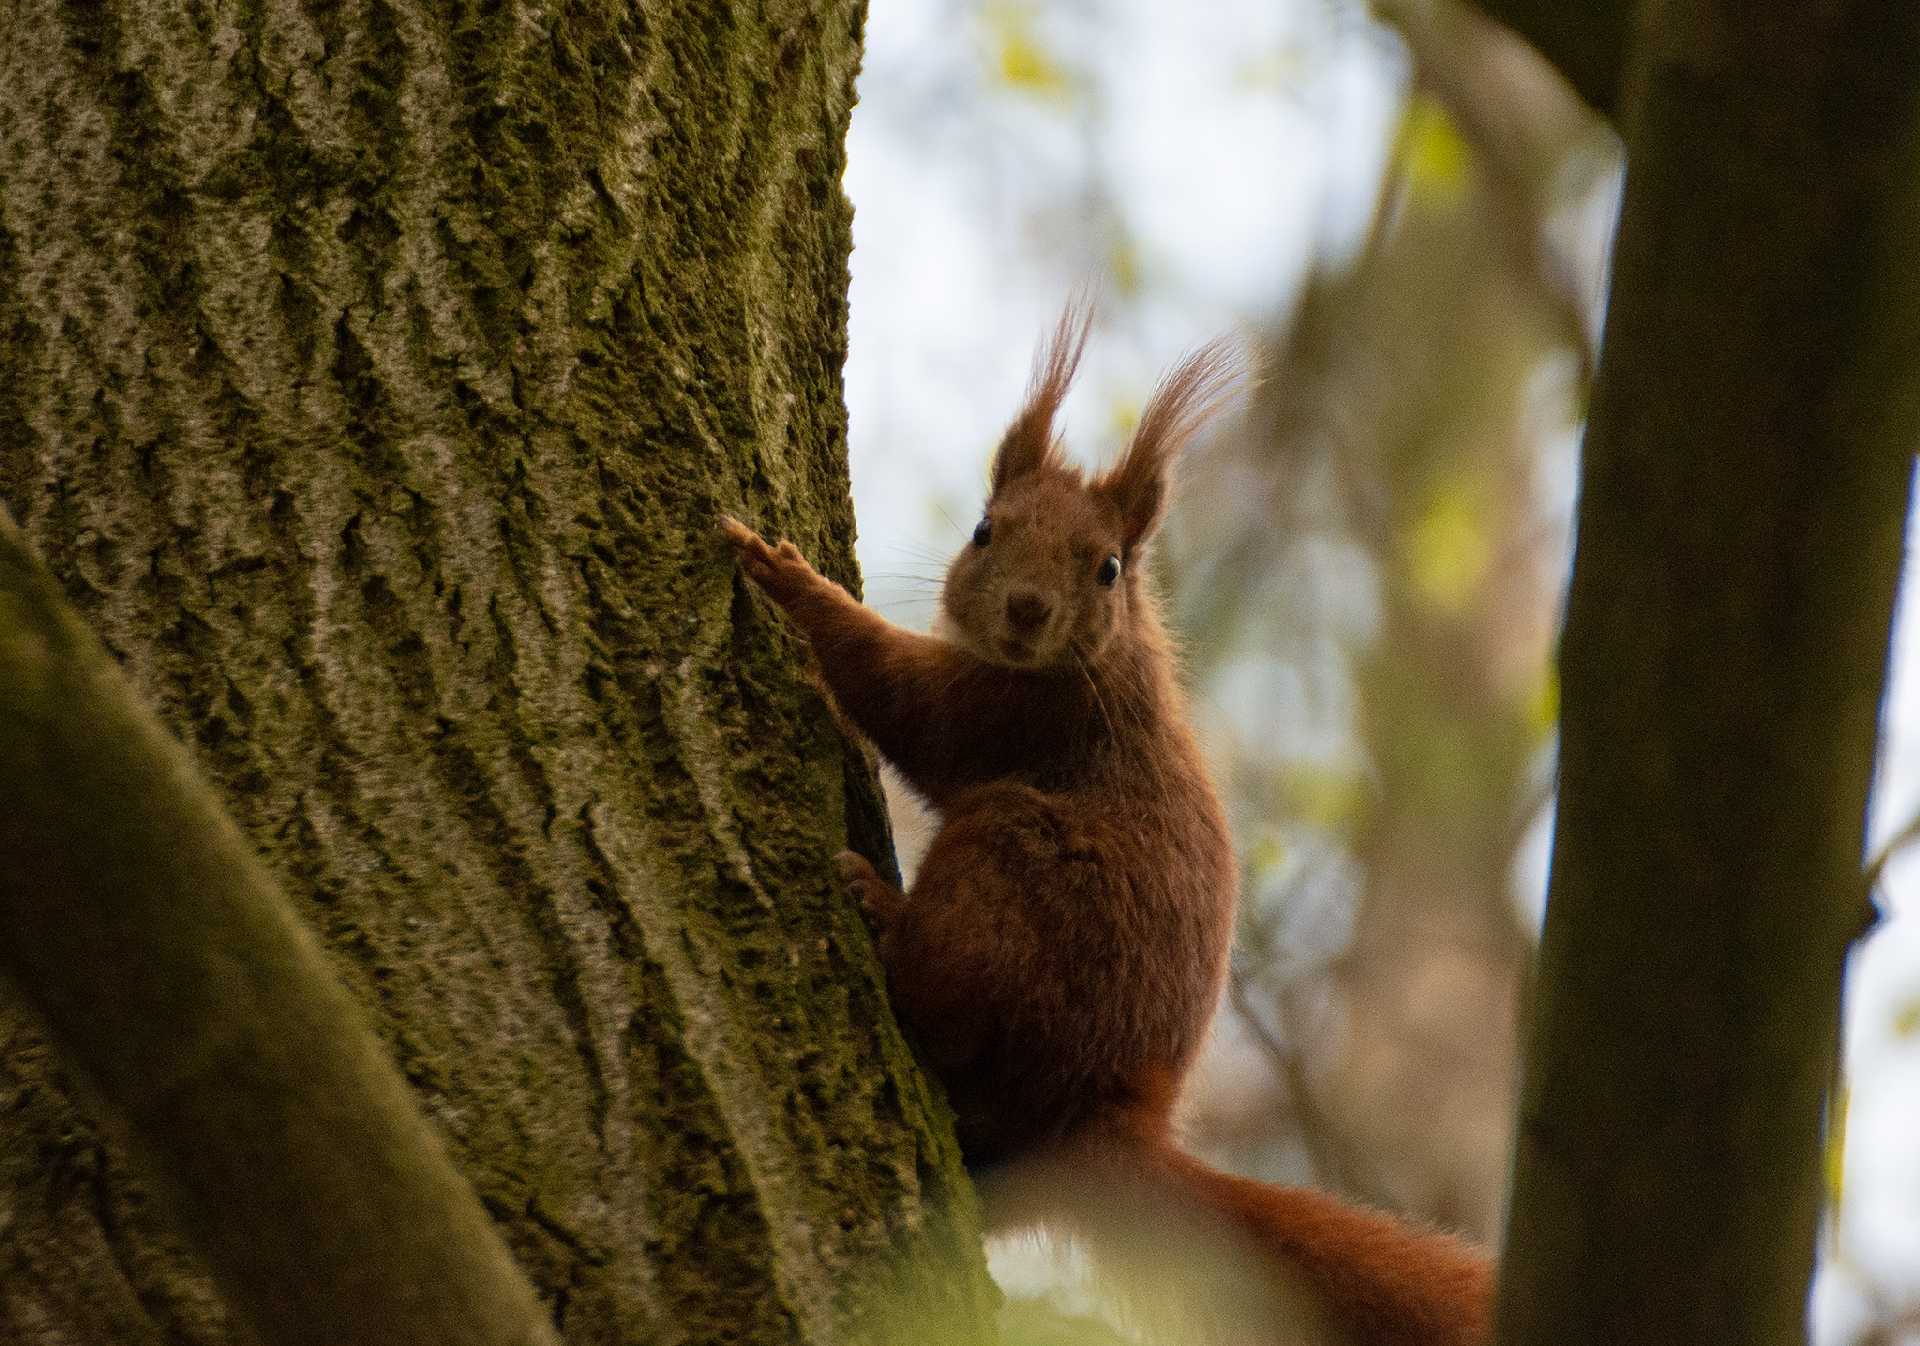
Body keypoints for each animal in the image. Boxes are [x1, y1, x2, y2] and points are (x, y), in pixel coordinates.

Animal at [721, 307, 1482, 1344]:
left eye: (1109, 567)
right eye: (985, 529)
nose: (1027, 609)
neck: (1110, 653)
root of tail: (1096, 1121)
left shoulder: (1022, 715)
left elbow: (908, 704)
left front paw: (791, 580)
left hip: (1019, 875)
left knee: (946, 996)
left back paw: (882, 913)